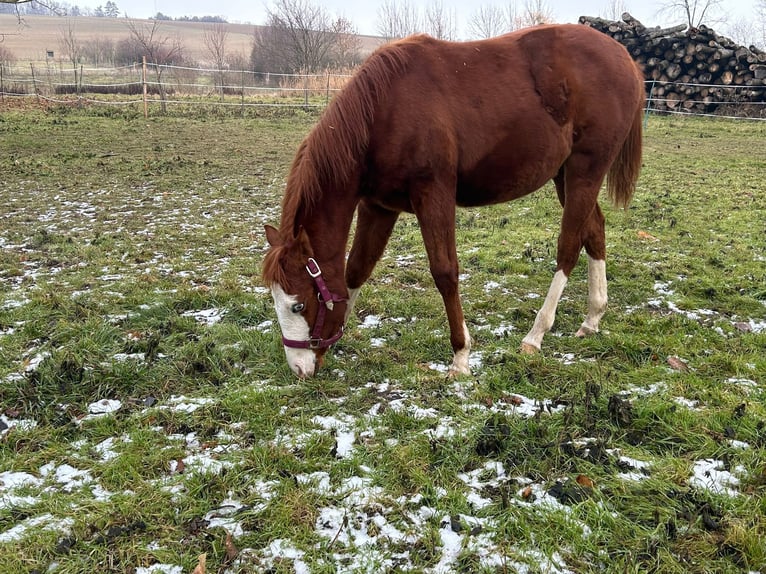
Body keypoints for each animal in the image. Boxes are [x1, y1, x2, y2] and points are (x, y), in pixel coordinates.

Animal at [260, 24, 644, 380]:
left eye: (298, 306)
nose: (298, 369)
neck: (384, 111)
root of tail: (626, 59)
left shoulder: (433, 195)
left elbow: (445, 272)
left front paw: (461, 356)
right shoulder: (379, 206)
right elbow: (357, 269)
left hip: (585, 170)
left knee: (569, 246)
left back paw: (536, 335)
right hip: (564, 175)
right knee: (594, 230)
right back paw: (593, 317)